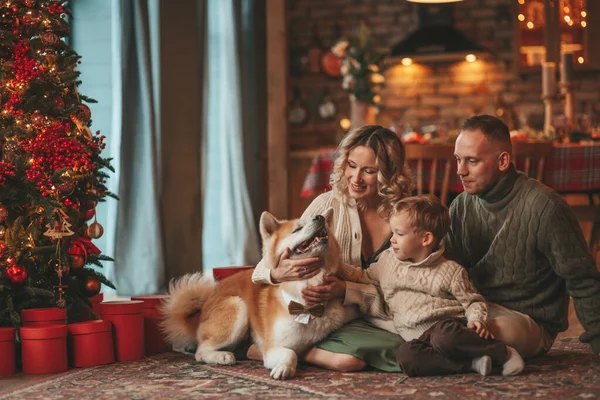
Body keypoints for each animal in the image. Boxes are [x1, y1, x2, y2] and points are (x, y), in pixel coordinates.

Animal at [159, 208, 358, 380]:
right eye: (297, 229)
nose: (320, 218)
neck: (308, 304)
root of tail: (204, 306)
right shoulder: (273, 348)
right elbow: (290, 353)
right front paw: (284, 367)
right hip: (238, 308)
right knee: (200, 351)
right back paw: (222, 356)